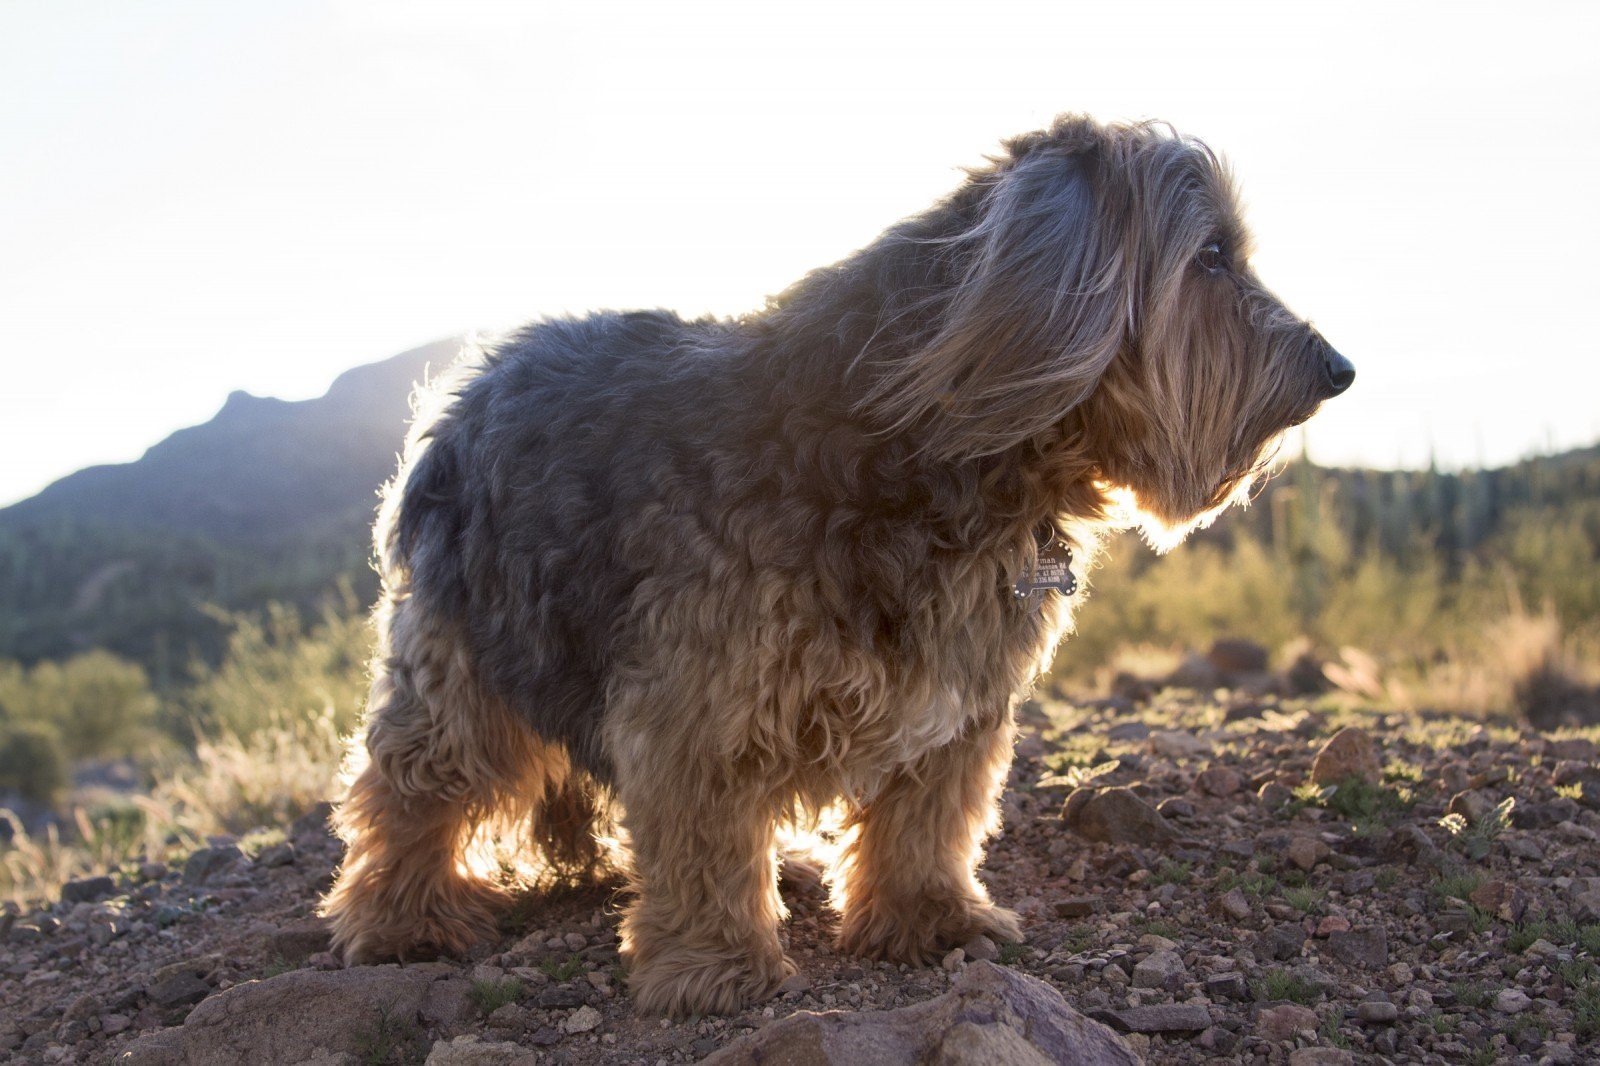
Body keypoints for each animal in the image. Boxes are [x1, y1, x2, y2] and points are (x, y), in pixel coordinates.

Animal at [321, 112, 1350, 1011]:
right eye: (1210, 256)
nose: (1338, 368)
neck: (925, 439)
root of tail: (474, 375)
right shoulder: (698, 704)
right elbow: (704, 842)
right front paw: (715, 966)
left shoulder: (956, 702)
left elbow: (927, 820)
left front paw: (930, 919)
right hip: (466, 647)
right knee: (411, 785)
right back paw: (404, 917)